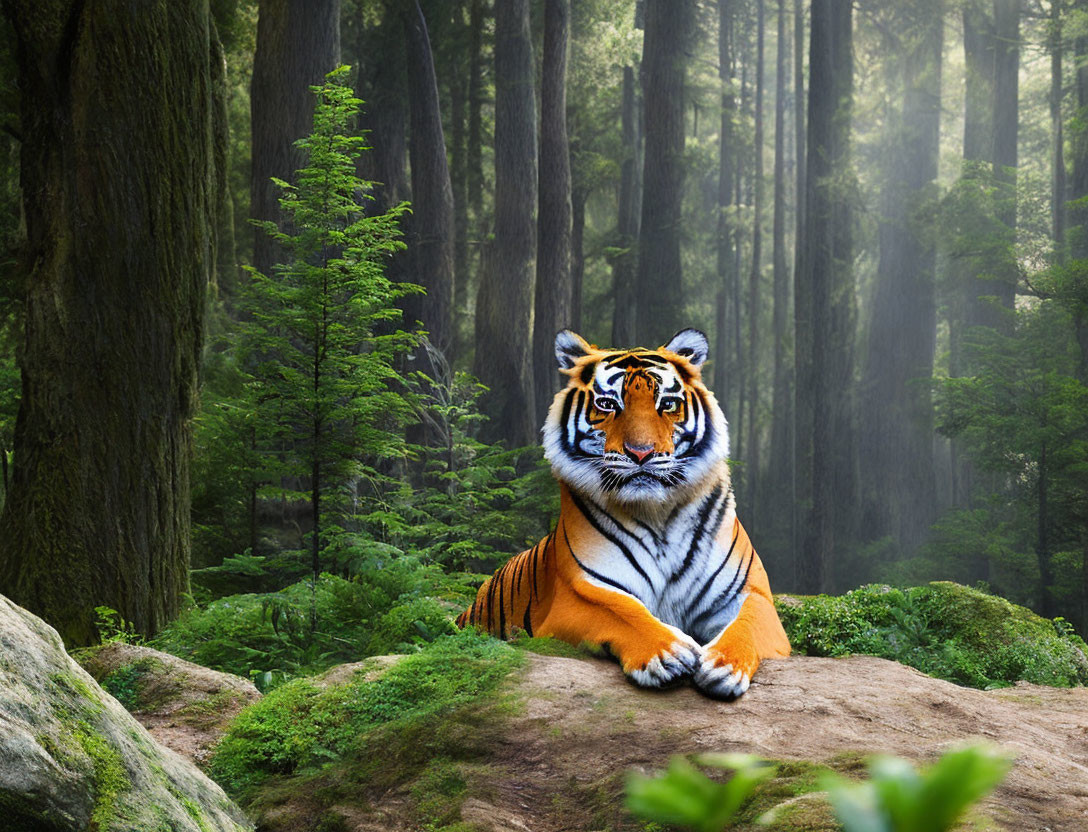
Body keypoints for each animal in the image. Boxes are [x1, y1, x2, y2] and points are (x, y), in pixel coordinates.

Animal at [456, 328, 792, 696]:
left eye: (667, 404)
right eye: (607, 404)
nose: (641, 453)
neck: (658, 515)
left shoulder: (751, 595)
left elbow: (746, 623)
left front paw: (724, 665)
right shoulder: (577, 594)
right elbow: (622, 611)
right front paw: (667, 652)